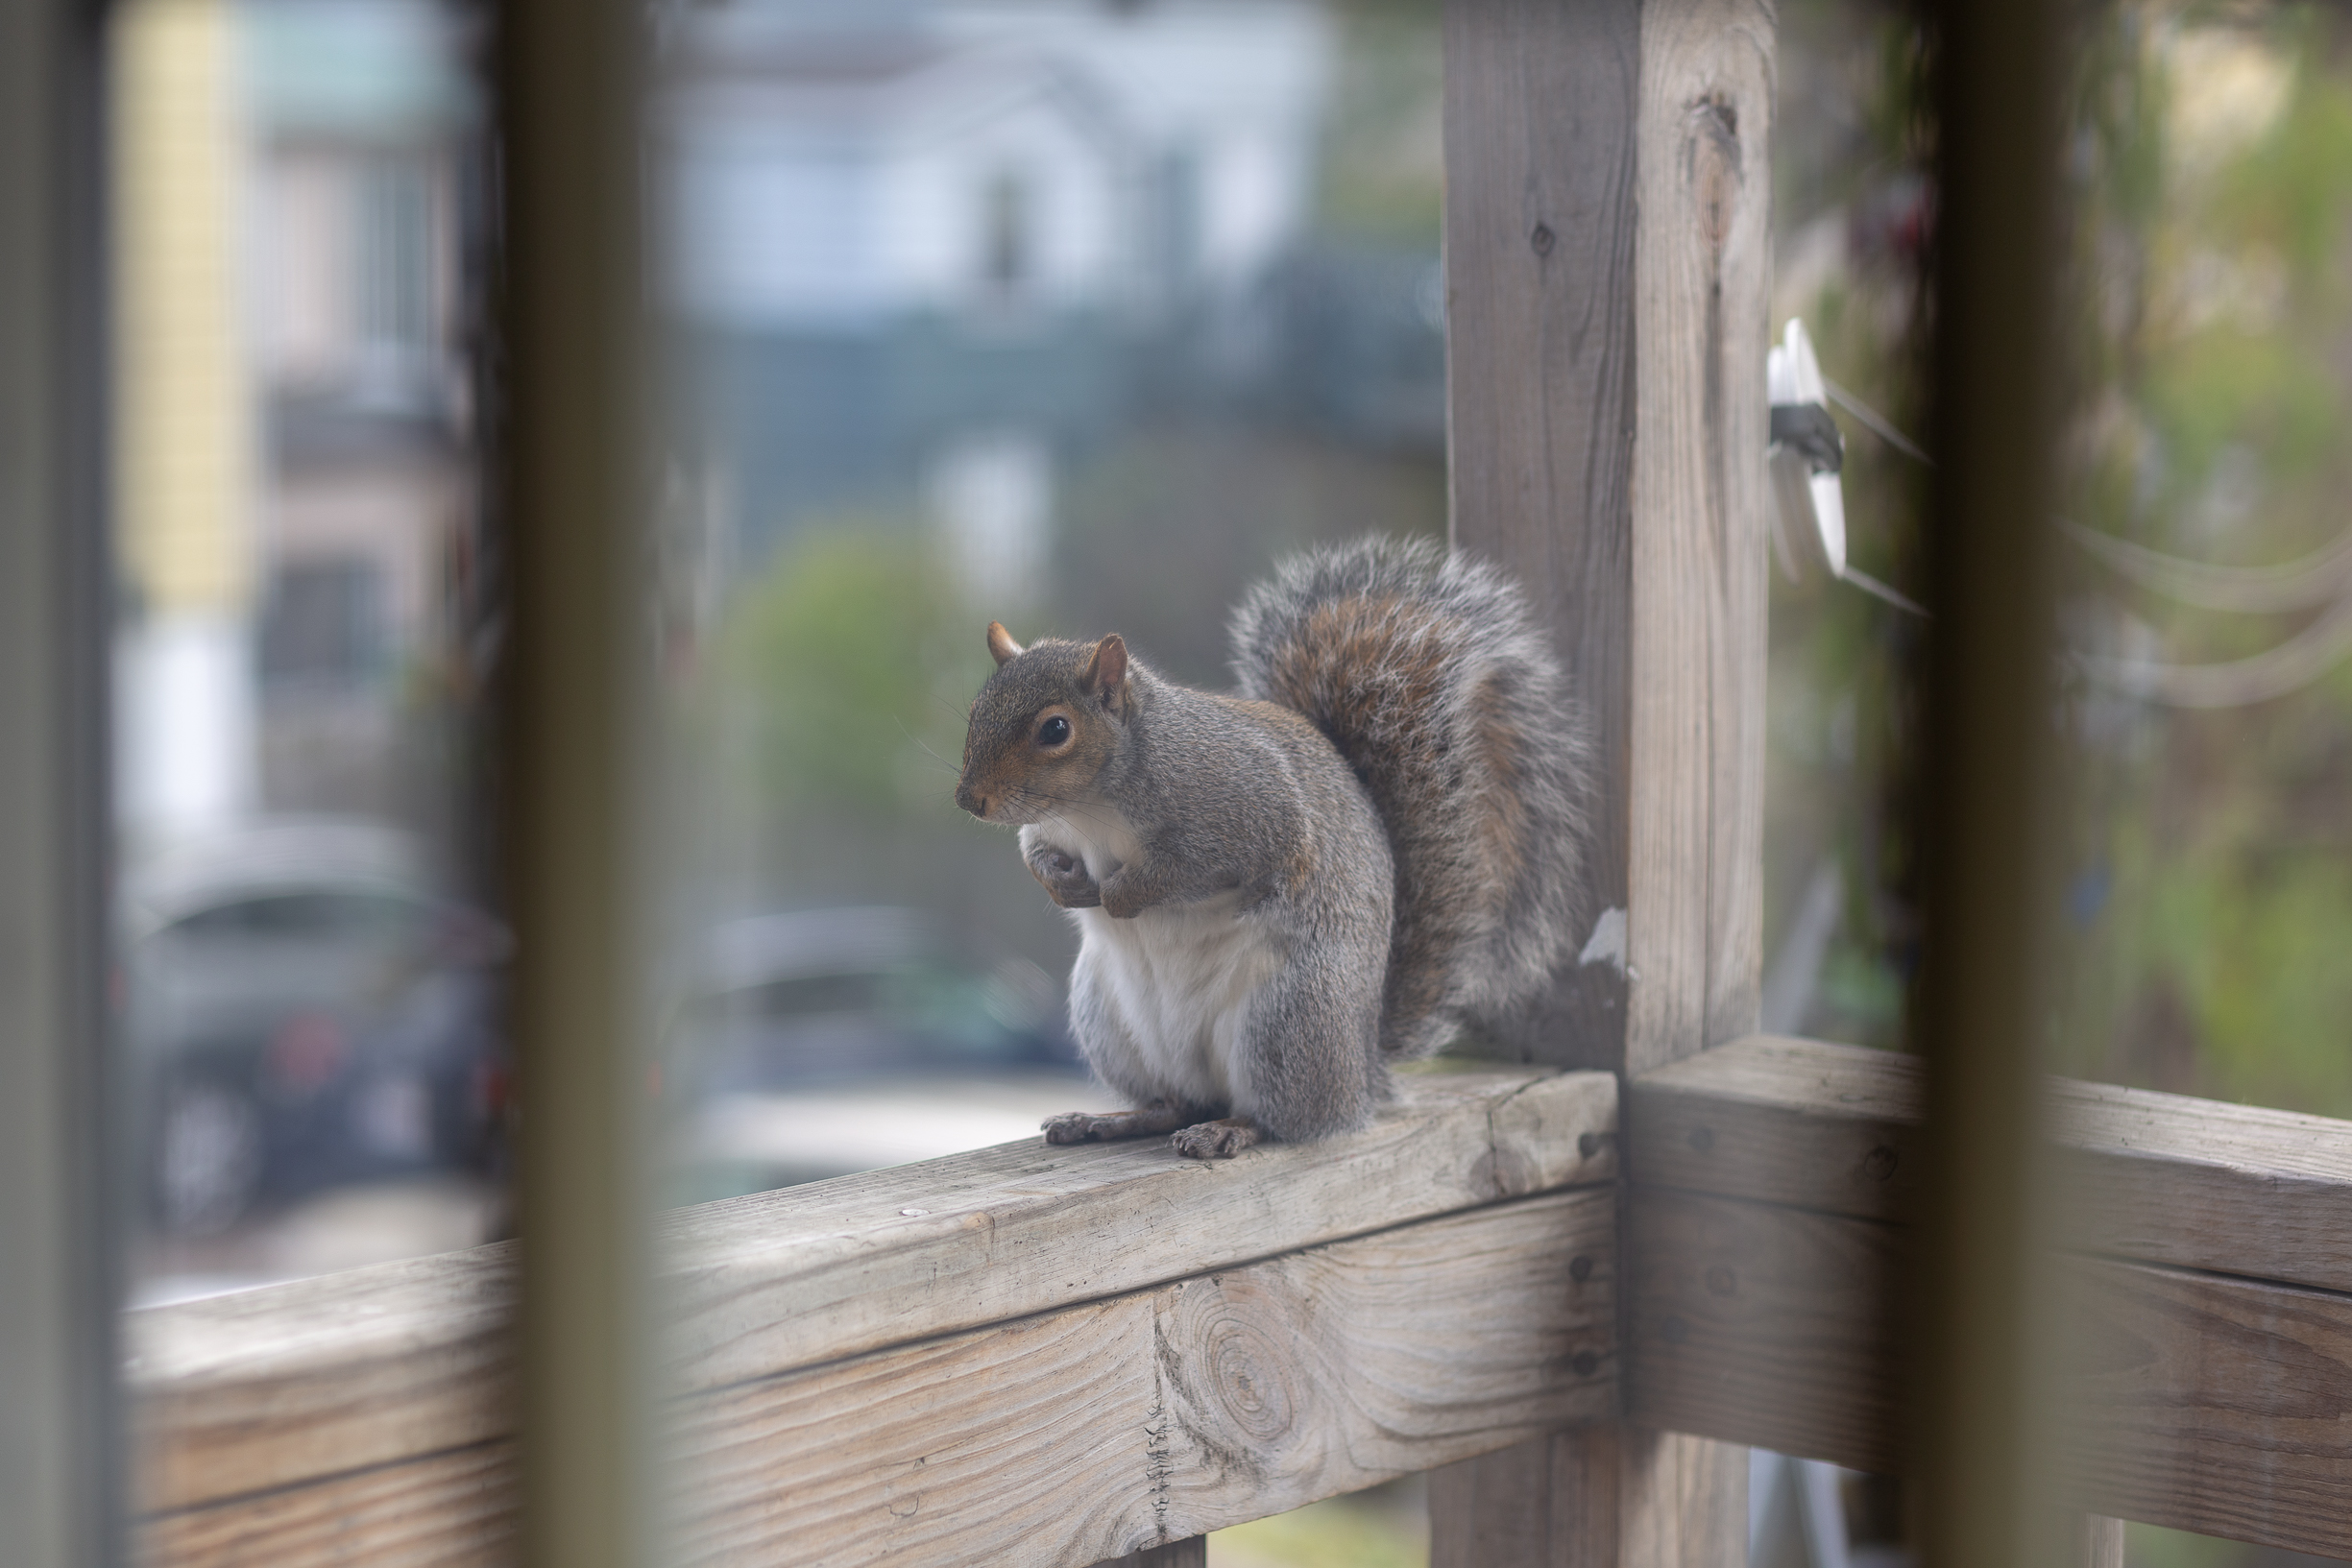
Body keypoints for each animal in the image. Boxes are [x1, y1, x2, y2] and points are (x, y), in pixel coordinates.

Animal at [953, 535, 1586, 1160]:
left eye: (1056, 729)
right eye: (975, 712)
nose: (968, 800)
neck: (1090, 809)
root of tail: (1363, 1071)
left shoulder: (1248, 813)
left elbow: (1195, 869)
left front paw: (1121, 895)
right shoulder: (1049, 827)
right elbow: (1035, 852)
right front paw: (1065, 886)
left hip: (1287, 1018)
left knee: (1286, 1119)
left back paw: (1230, 1129)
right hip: (1109, 1021)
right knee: (1172, 1104)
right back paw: (1108, 1120)